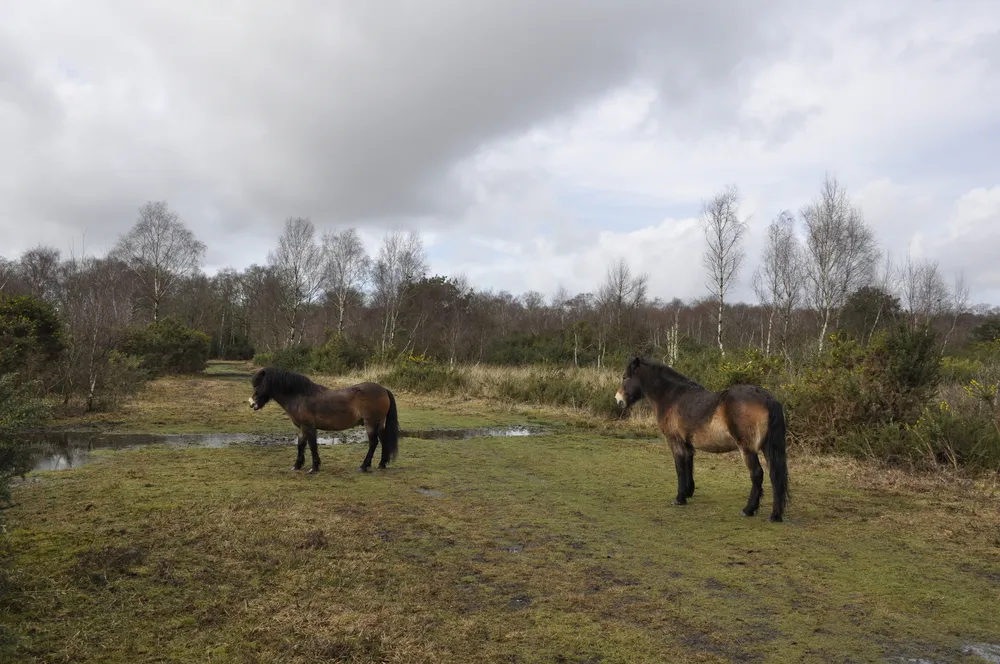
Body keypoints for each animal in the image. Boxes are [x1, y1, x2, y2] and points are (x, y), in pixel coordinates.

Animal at [248, 367, 400, 474]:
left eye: (258, 385)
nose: (251, 403)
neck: (300, 396)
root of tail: (384, 389)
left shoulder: (309, 427)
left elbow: (312, 445)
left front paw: (314, 468)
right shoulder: (303, 427)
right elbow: (300, 445)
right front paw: (297, 466)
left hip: (371, 423)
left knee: (373, 443)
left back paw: (363, 466)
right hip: (379, 424)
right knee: (383, 441)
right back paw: (381, 464)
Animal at [614, 356, 789, 522]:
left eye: (624, 377)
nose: (618, 400)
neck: (673, 396)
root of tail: (767, 398)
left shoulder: (675, 441)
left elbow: (679, 468)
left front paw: (679, 498)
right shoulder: (688, 444)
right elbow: (689, 464)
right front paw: (688, 491)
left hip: (747, 449)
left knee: (757, 474)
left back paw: (748, 510)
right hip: (767, 448)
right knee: (775, 476)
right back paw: (775, 515)